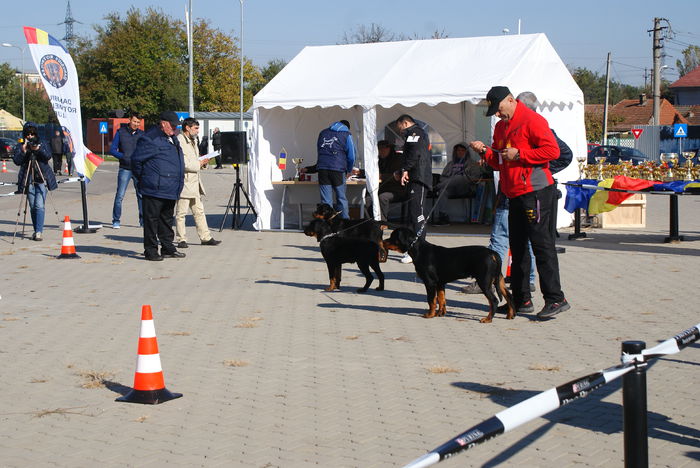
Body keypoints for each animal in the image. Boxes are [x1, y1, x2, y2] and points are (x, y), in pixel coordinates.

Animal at [382, 226, 516, 322]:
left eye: (393, 237)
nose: (382, 241)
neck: (418, 250)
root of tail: (493, 253)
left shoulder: (430, 283)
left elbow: (431, 300)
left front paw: (430, 314)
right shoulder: (440, 283)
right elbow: (441, 299)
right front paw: (440, 313)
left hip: (484, 281)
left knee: (494, 300)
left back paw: (488, 319)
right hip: (499, 279)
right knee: (509, 296)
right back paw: (510, 315)